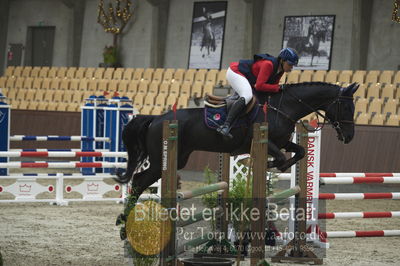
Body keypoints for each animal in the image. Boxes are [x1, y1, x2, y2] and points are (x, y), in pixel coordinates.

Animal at [115, 82, 360, 201]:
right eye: (346, 107)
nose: (349, 137)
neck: (283, 107)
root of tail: (156, 118)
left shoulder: (282, 142)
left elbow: (299, 151)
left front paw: (272, 166)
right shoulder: (265, 141)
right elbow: (281, 157)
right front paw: (267, 165)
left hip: (177, 158)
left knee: (139, 181)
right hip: (160, 160)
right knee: (138, 181)